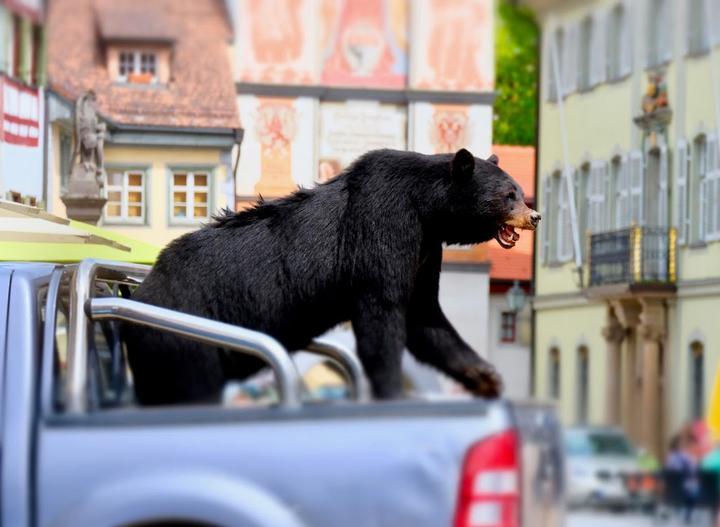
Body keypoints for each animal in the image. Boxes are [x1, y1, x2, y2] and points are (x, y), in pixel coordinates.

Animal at [124, 148, 540, 404]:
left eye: (520, 192)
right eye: (509, 195)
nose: (535, 216)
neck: (425, 208)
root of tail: (140, 293)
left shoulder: (424, 250)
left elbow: (424, 315)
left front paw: (484, 375)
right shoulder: (382, 228)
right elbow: (382, 316)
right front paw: (390, 390)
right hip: (185, 338)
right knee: (194, 386)